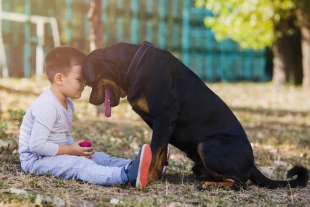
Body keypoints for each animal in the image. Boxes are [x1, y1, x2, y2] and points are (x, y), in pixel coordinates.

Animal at [81, 41, 308, 190]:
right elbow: (160, 152)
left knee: (241, 183)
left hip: (207, 146)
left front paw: (144, 177)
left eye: (89, 82)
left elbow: (154, 151)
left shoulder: (165, 118)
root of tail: (252, 164)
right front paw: (155, 174)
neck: (133, 66)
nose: (90, 101)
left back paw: (209, 184)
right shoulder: (162, 125)